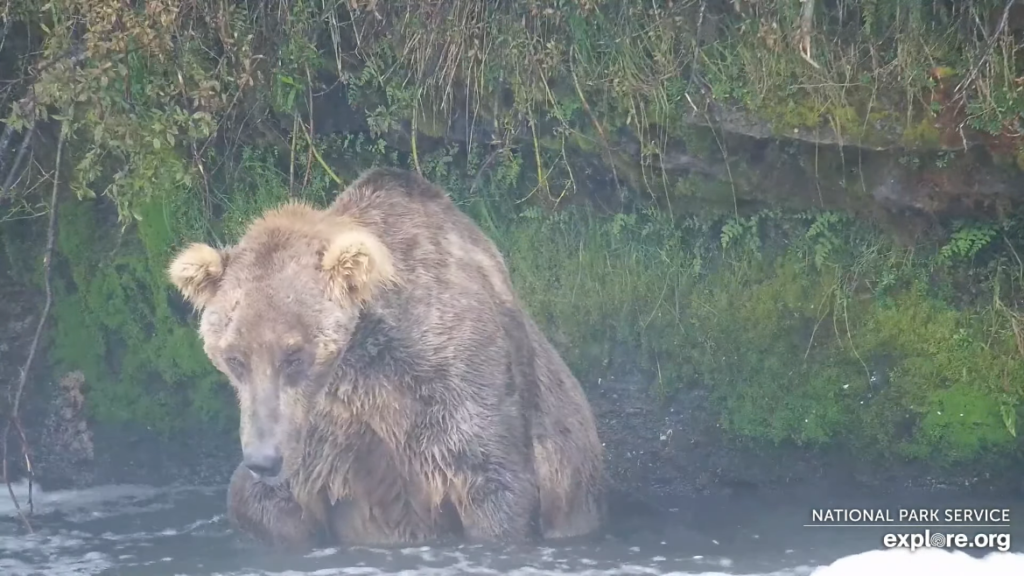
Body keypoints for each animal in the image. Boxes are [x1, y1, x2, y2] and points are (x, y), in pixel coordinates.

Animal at [164, 167, 602, 545]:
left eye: (294, 355)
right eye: (234, 358)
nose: (263, 459)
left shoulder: (456, 389)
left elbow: (495, 484)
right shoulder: (321, 430)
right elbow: (264, 500)